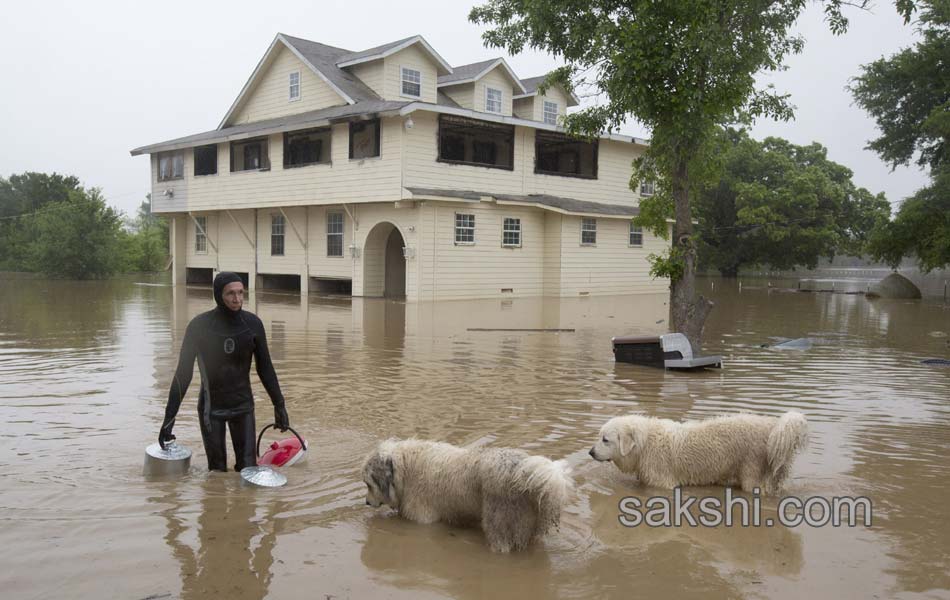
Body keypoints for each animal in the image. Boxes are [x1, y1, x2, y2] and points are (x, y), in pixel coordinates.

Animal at [362, 438, 572, 552]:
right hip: (528, 529)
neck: (405, 469)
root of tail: (520, 468)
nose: (366, 502)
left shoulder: (422, 519)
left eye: (368, 484)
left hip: (498, 525)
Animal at [592, 410, 808, 494]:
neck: (645, 444)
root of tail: (774, 429)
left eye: (605, 439)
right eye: (600, 436)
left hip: (751, 474)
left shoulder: (663, 484)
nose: (590, 452)